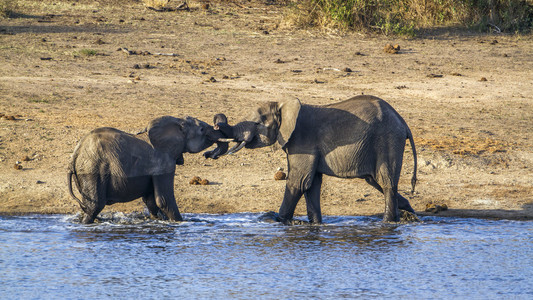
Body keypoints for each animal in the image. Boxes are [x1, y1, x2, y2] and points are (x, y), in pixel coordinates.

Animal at [67, 116, 228, 224]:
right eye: (202, 129)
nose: (209, 155)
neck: (177, 122)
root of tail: (75, 155)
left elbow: (151, 201)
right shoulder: (164, 161)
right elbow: (163, 200)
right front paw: (181, 223)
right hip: (92, 170)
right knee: (95, 206)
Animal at [210, 95, 418, 224]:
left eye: (257, 123)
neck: (283, 105)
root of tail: (403, 122)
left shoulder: (303, 141)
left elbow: (299, 182)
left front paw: (277, 220)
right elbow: (311, 184)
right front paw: (315, 224)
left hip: (387, 140)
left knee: (386, 182)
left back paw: (389, 222)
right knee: (377, 181)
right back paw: (408, 212)